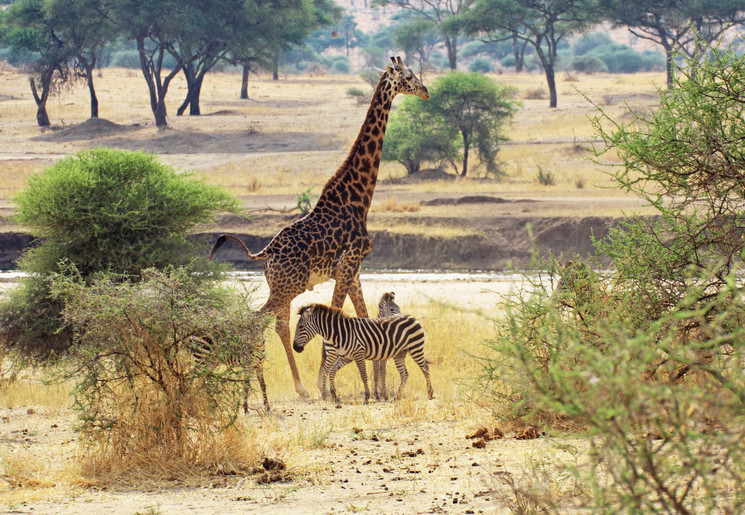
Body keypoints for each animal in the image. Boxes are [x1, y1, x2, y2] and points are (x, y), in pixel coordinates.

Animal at [209, 56, 428, 398]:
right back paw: (278, 385)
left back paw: (298, 388)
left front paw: (377, 387)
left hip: (280, 285)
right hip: (290, 285)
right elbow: (335, 323)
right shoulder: (347, 265)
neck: (358, 197)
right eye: (408, 76)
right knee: (258, 320)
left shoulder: (354, 269)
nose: (426, 91)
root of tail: (265, 254)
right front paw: (328, 387)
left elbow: (365, 318)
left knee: (278, 323)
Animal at [293, 303, 433, 405]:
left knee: (425, 368)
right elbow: (332, 371)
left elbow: (363, 375)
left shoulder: (358, 354)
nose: (295, 347)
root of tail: (412, 317)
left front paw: (367, 397)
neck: (341, 333)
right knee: (404, 374)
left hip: (415, 348)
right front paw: (335, 396)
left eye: (300, 326)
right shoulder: (346, 357)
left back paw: (430, 394)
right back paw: (397, 397)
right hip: (400, 353)